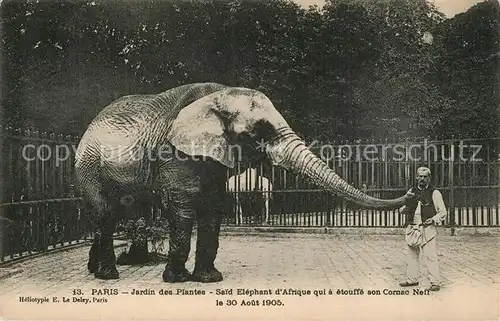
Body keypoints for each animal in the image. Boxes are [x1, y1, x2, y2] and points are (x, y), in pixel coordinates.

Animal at [73, 81, 410, 282]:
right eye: (259, 131)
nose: (411, 189)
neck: (216, 95)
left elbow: (213, 205)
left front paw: (209, 279)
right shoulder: (174, 151)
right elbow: (183, 204)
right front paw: (176, 280)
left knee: (115, 214)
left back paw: (94, 270)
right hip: (89, 167)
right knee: (105, 214)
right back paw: (107, 275)